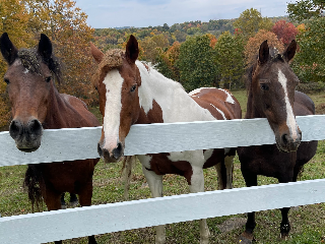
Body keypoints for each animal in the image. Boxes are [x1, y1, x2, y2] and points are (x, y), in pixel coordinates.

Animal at [90, 34, 242, 244]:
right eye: (98, 87)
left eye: (133, 87)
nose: (109, 149)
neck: (167, 127)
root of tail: (225, 93)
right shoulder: (152, 175)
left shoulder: (195, 175)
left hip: (229, 156)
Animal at [235, 39, 316, 243]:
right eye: (264, 85)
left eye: (295, 82)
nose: (292, 138)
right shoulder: (248, 173)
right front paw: (249, 229)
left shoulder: (285, 174)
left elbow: (284, 206)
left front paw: (285, 229)